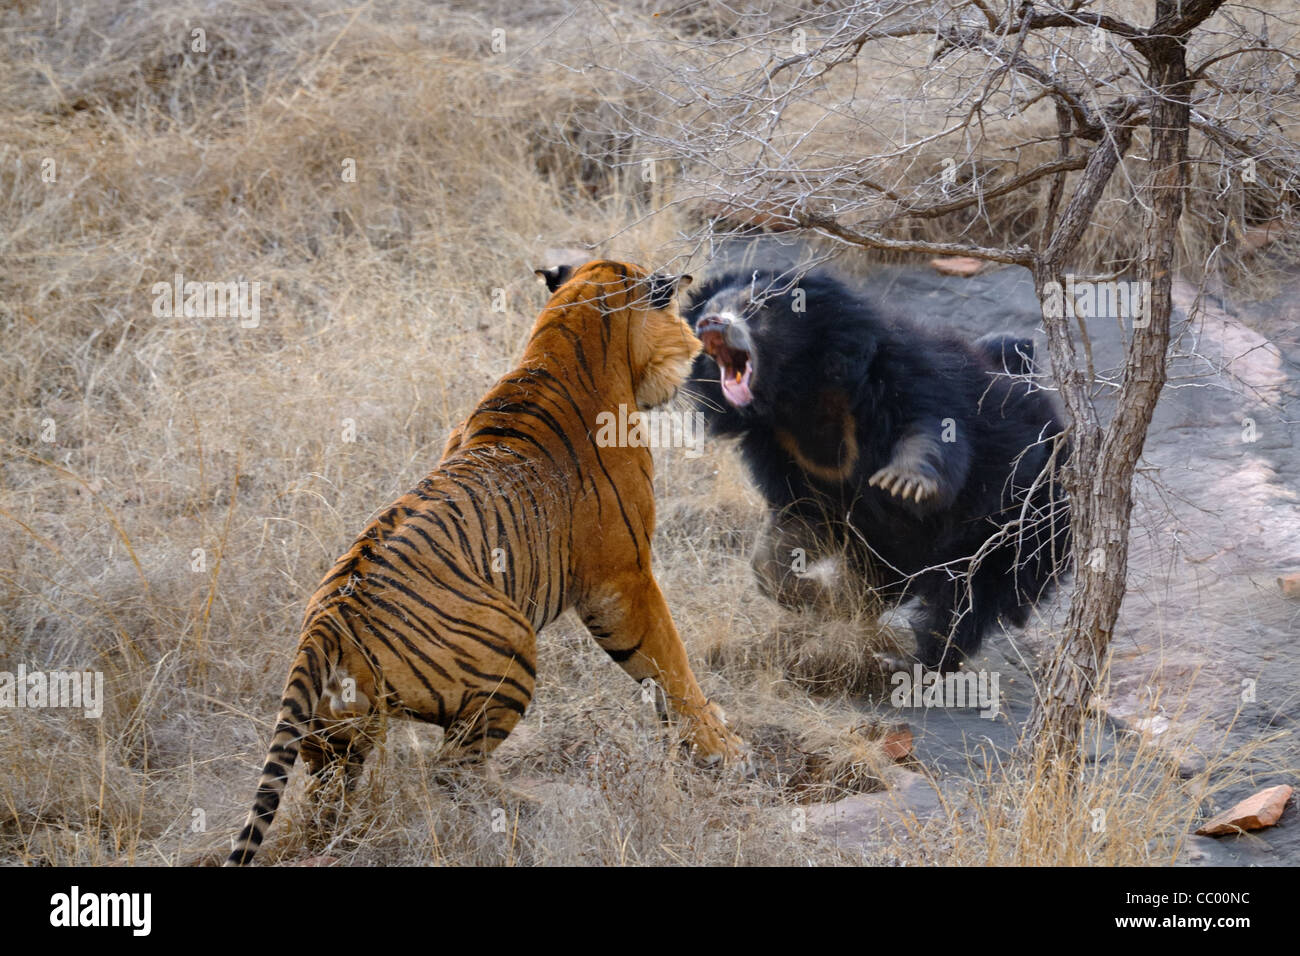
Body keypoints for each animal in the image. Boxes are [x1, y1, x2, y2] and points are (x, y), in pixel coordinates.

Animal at [684, 265, 1071, 672]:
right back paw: (859, 603)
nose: (710, 325)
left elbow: (931, 431)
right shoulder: (782, 452)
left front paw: (903, 483)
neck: (797, 395)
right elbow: (794, 527)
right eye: (710, 310)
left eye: (753, 307)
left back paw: (911, 661)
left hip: (1021, 522)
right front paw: (822, 598)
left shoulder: (901, 376)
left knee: (967, 599)